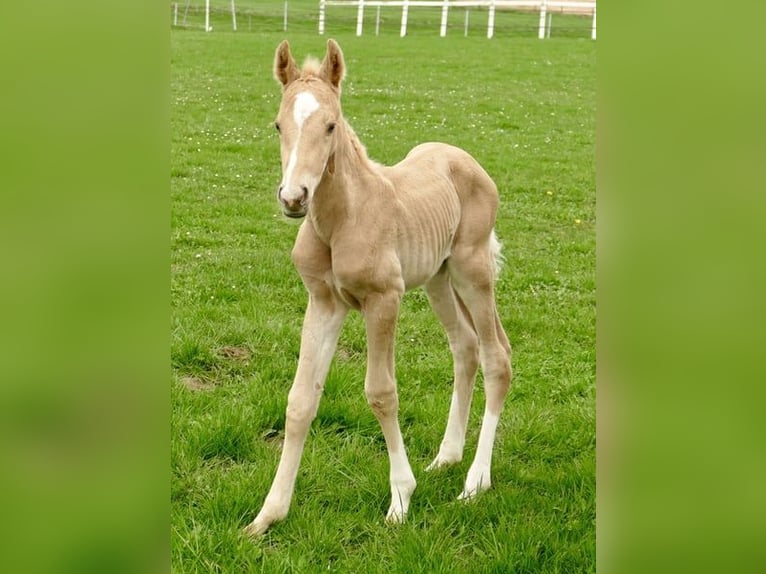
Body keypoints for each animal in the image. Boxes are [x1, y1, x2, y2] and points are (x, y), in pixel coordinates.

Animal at [243, 40, 512, 540]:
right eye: (278, 125)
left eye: (331, 125)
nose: (293, 198)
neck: (342, 218)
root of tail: (467, 159)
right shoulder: (323, 302)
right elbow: (300, 400)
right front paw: (268, 515)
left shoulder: (383, 300)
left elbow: (382, 393)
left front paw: (400, 500)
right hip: (438, 279)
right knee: (465, 347)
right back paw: (447, 457)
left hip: (472, 271)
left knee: (496, 357)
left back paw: (475, 481)